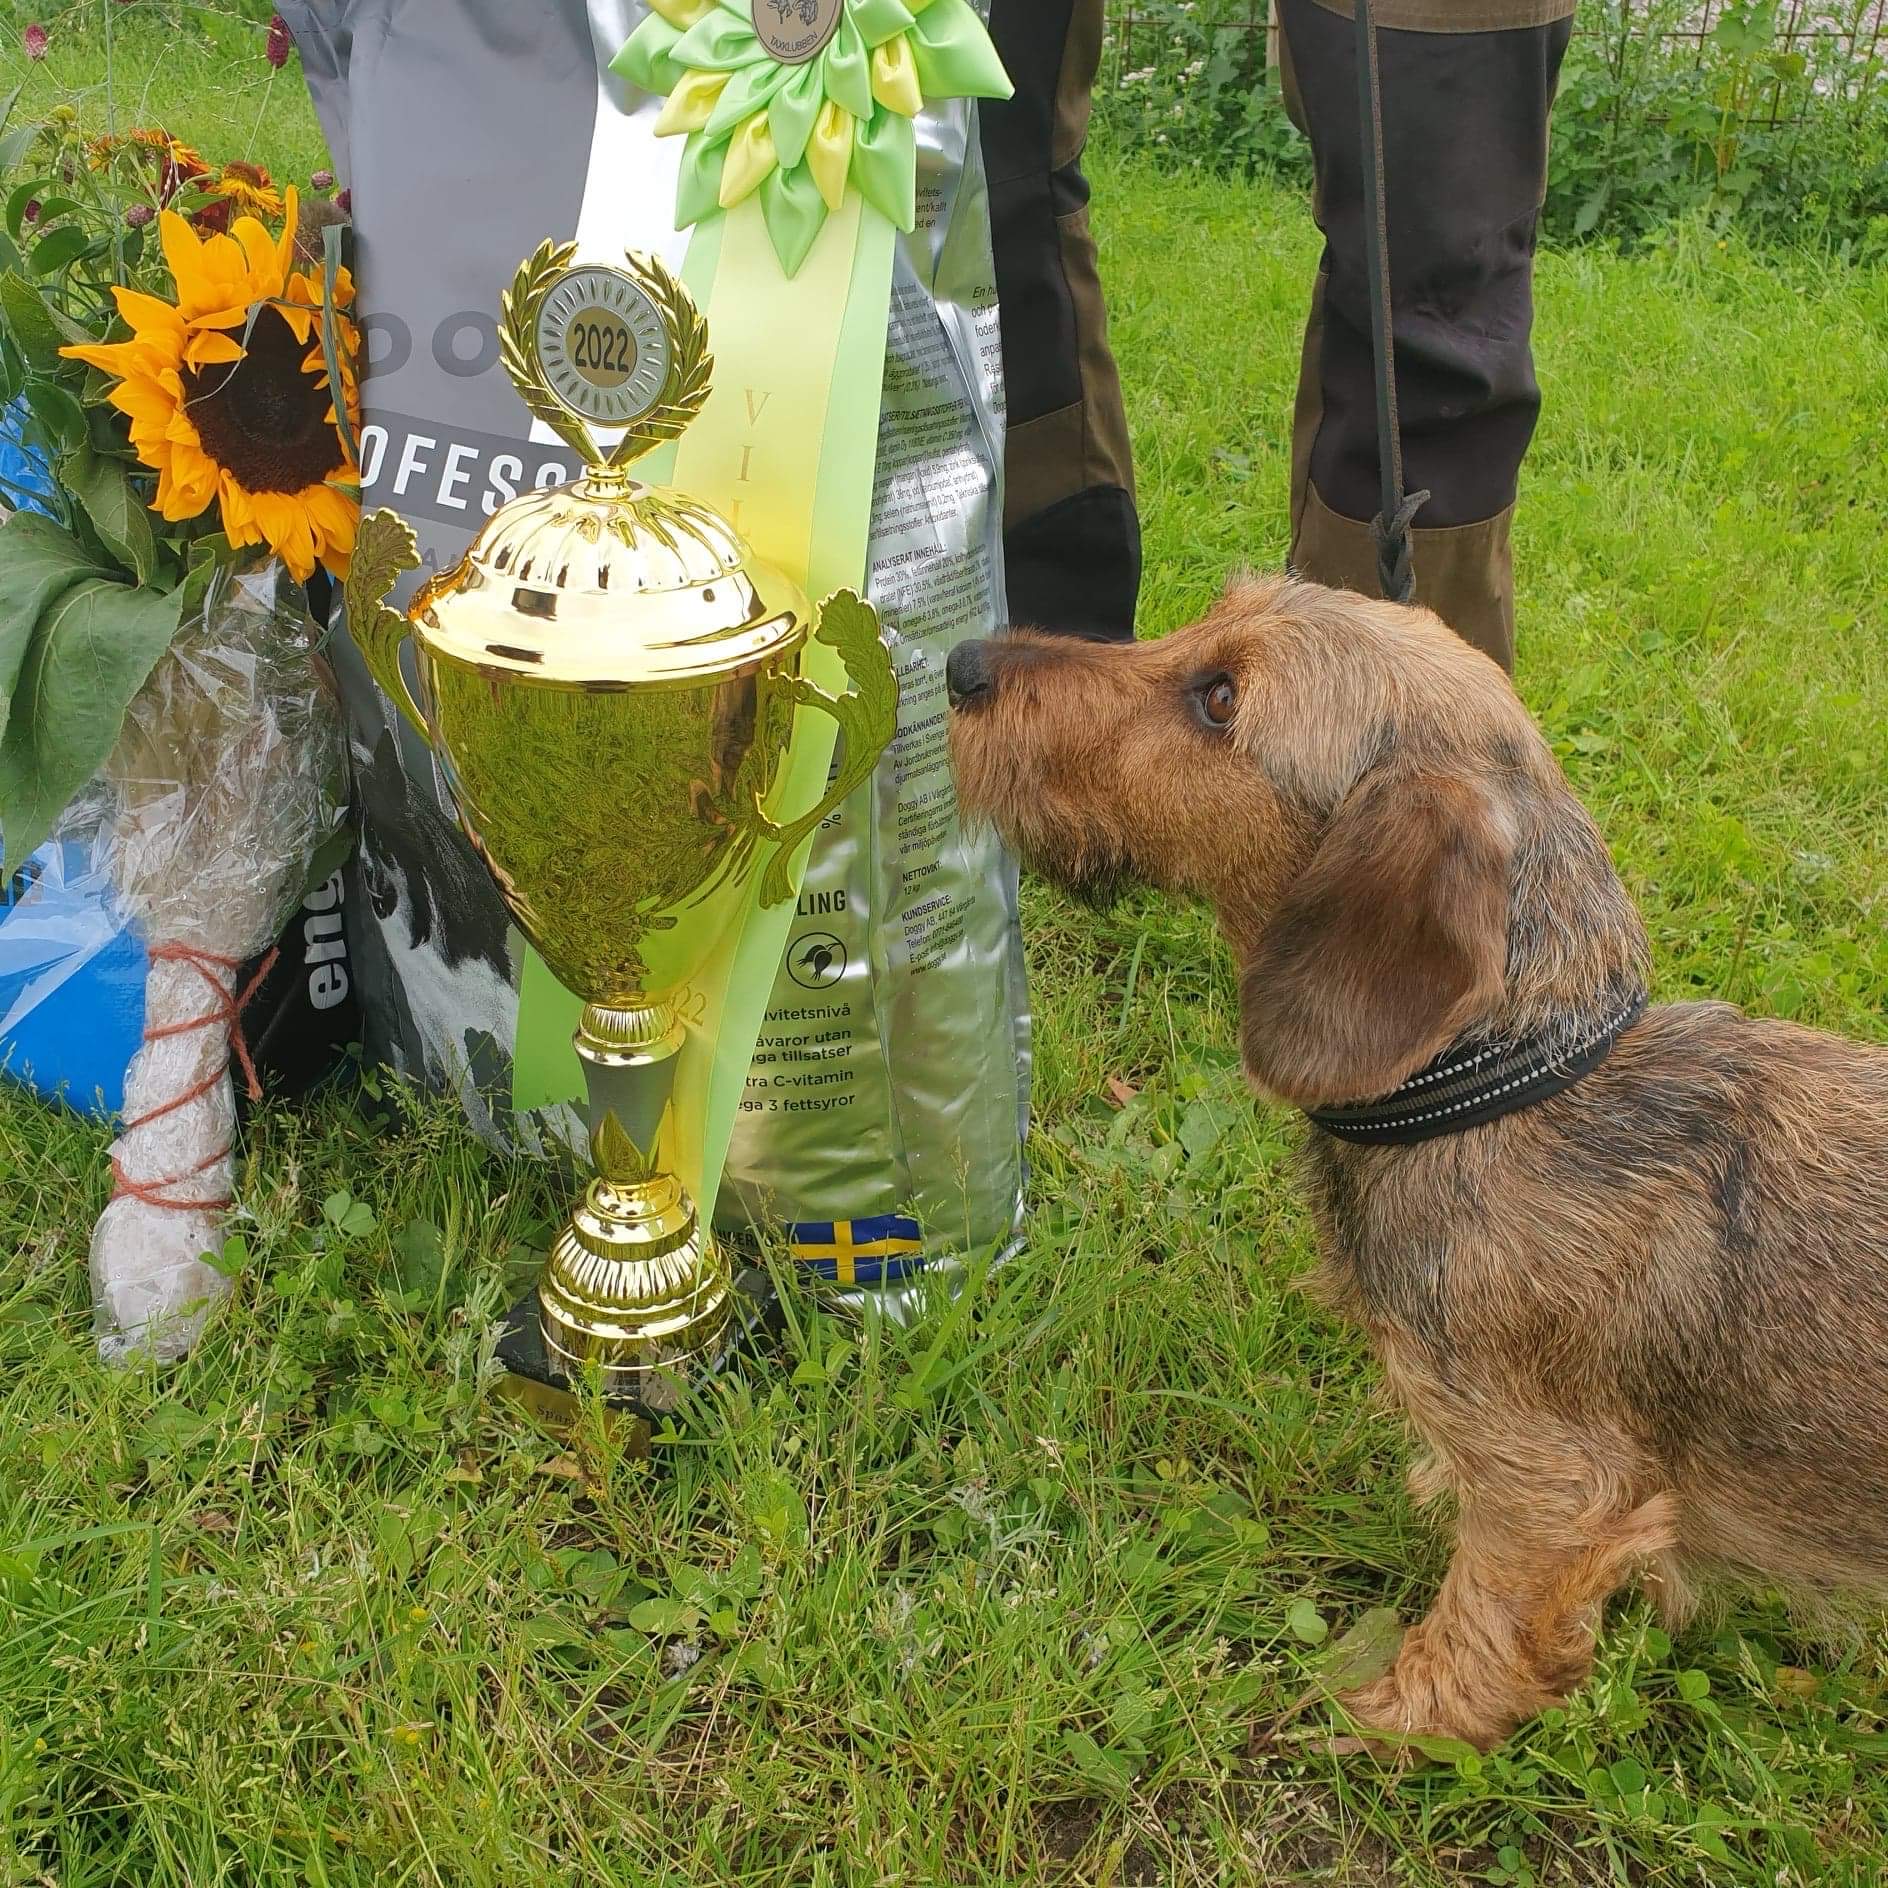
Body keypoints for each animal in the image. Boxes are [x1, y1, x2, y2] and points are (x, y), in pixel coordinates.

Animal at [944, 577, 1888, 1752]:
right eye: (1210, 612)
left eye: (1221, 699)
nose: (963, 665)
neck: (1515, 1083)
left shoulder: (1551, 1485)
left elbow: (1481, 1626)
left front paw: (1390, 1719)